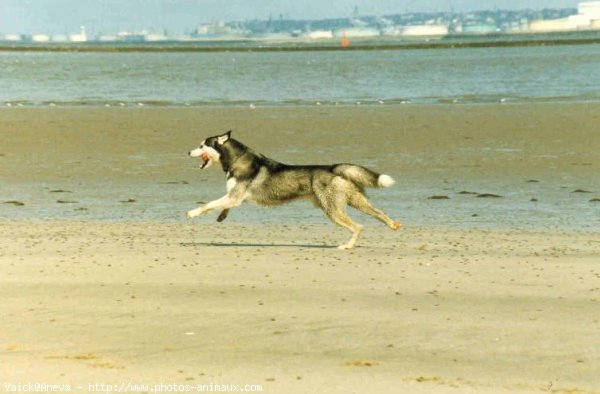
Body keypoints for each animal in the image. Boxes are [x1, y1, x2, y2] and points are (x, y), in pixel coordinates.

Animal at [188, 132, 400, 249]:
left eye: (201, 145)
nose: (188, 151)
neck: (237, 159)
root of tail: (333, 167)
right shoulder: (235, 198)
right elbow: (221, 206)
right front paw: (221, 216)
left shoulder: (235, 196)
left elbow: (208, 204)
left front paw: (192, 213)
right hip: (355, 200)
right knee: (379, 213)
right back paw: (393, 225)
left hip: (332, 210)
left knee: (358, 226)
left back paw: (347, 246)